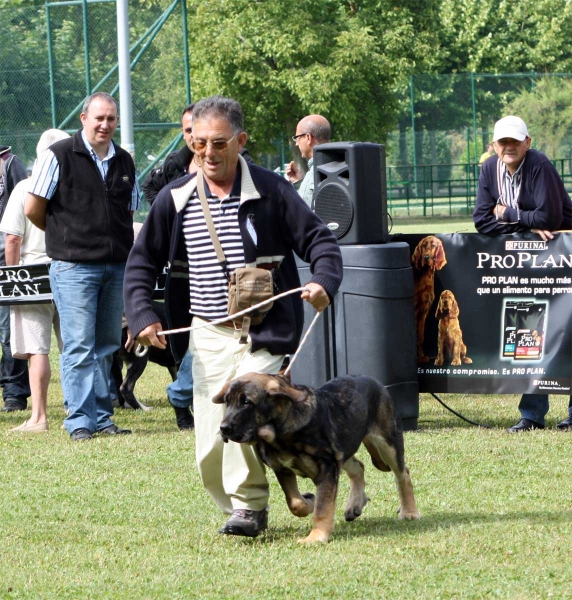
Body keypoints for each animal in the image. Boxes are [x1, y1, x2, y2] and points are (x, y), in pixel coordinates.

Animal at [212, 372, 418, 540]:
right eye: (227, 402)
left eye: (247, 402)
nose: (223, 428)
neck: (281, 433)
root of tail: (374, 381)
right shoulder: (283, 469)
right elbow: (295, 502)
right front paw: (309, 501)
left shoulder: (327, 467)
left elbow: (323, 507)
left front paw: (316, 536)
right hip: (343, 449)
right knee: (359, 467)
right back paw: (354, 505)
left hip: (387, 443)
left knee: (403, 474)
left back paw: (409, 512)